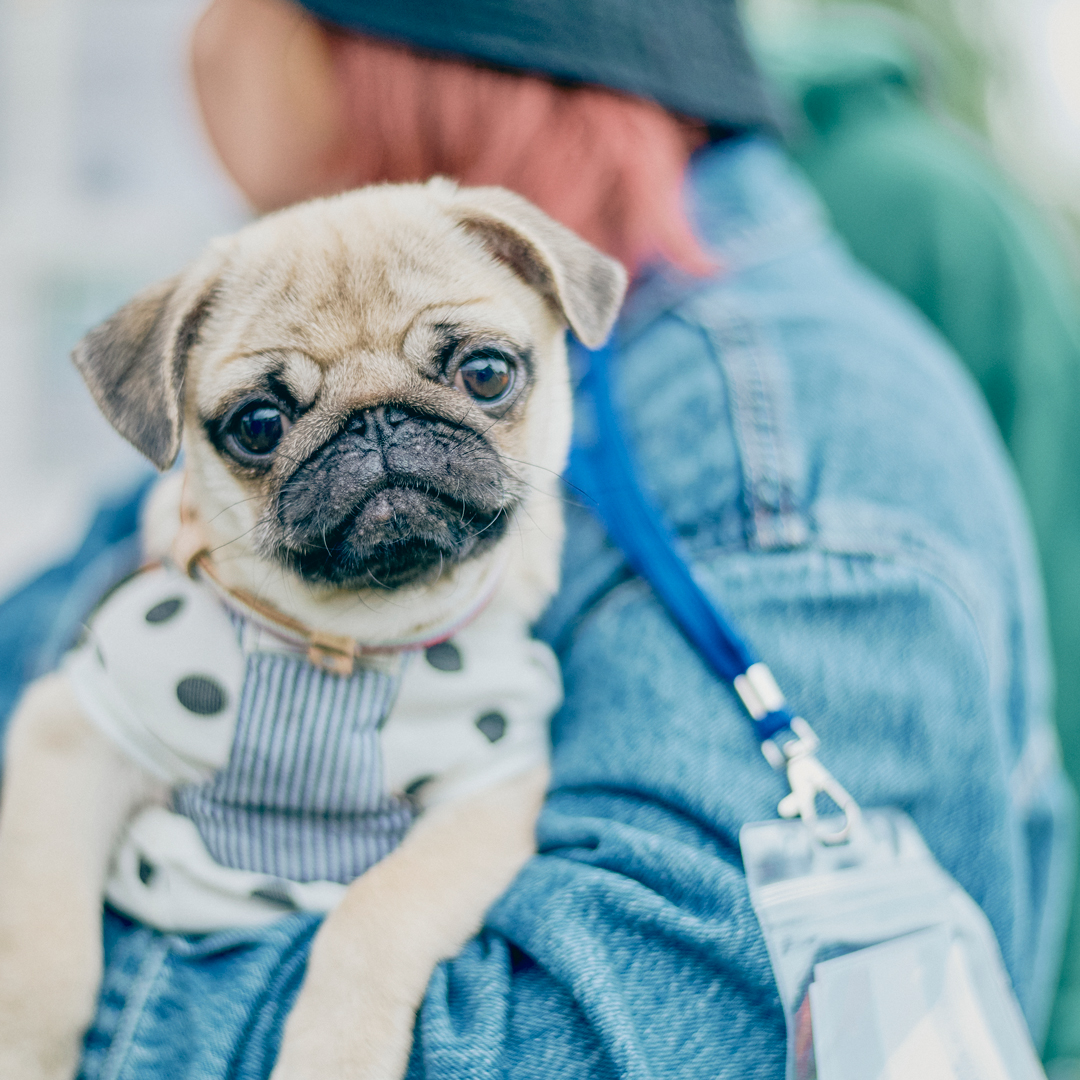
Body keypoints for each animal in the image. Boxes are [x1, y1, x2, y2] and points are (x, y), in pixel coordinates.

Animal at [0, 181, 626, 1080]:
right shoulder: (75, 729)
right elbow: (45, 949)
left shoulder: (489, 791)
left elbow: (375, 914)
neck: (345, 641)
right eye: (259, 425)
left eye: (485, 373)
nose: (375, 420)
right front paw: (26, 1052)